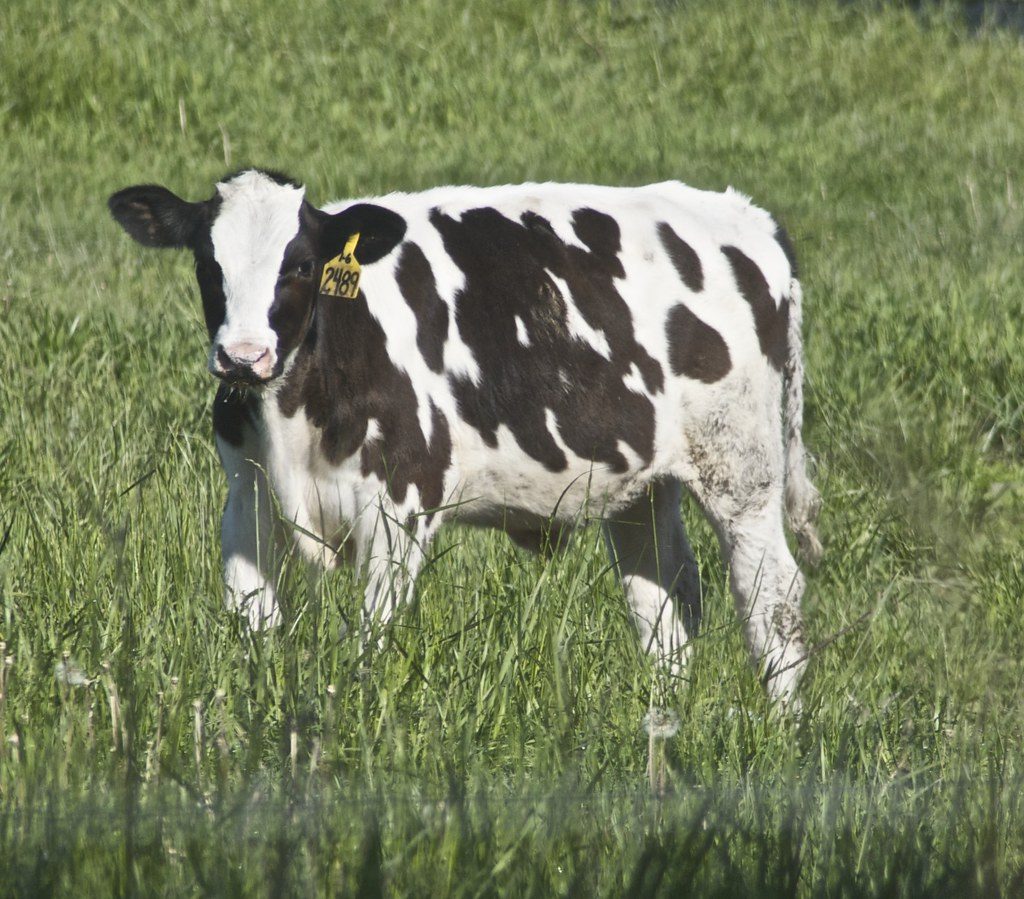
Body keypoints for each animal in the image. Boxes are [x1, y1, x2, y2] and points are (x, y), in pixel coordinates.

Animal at [108, 169, 821, 704]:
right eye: (208, 265)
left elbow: (370, 639)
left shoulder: (401, 508)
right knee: (665, 602)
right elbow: (253, 626)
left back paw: (778, 727)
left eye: (302, 265)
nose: (243, 357)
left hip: (741, 469)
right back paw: (661, 722)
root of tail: (744, 215)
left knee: (773, 597)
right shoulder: (246, 502)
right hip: (641, 484)